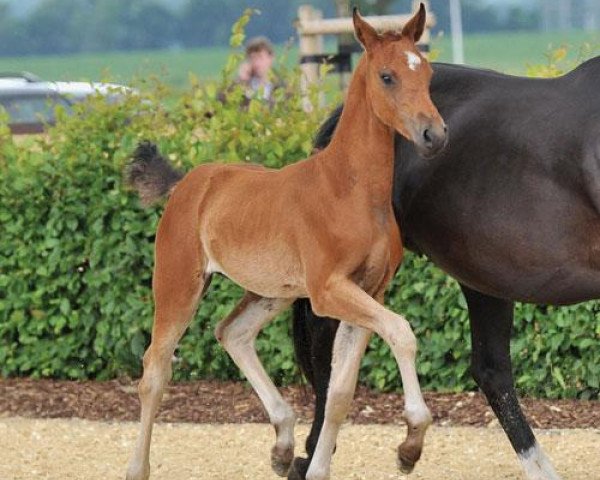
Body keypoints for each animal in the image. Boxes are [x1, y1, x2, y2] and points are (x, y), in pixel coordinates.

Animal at [125, 4, 446, 480]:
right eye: (387, 76)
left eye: (425, 71)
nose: (434, 135)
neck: (350, 190)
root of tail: (187, 182)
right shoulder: (329, 291)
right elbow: (402, 332)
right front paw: (410, 443)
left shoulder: (369, 291)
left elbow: (340, 393)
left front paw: (320, 467)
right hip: (178, 283)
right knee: (154, 372)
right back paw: (138, 467)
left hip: (270, 291)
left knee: (232, 332)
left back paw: (282, 442)